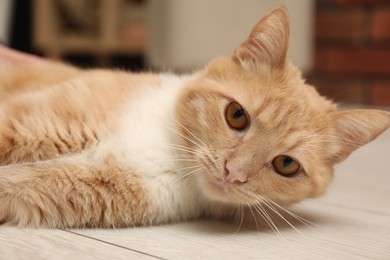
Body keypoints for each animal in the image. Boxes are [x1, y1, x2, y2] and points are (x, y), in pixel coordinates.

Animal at [0, 7, 390, 228]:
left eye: (286, 165)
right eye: (236, 115)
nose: (233, 173)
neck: (167, 150)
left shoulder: (56, 189)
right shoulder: (36, 121)